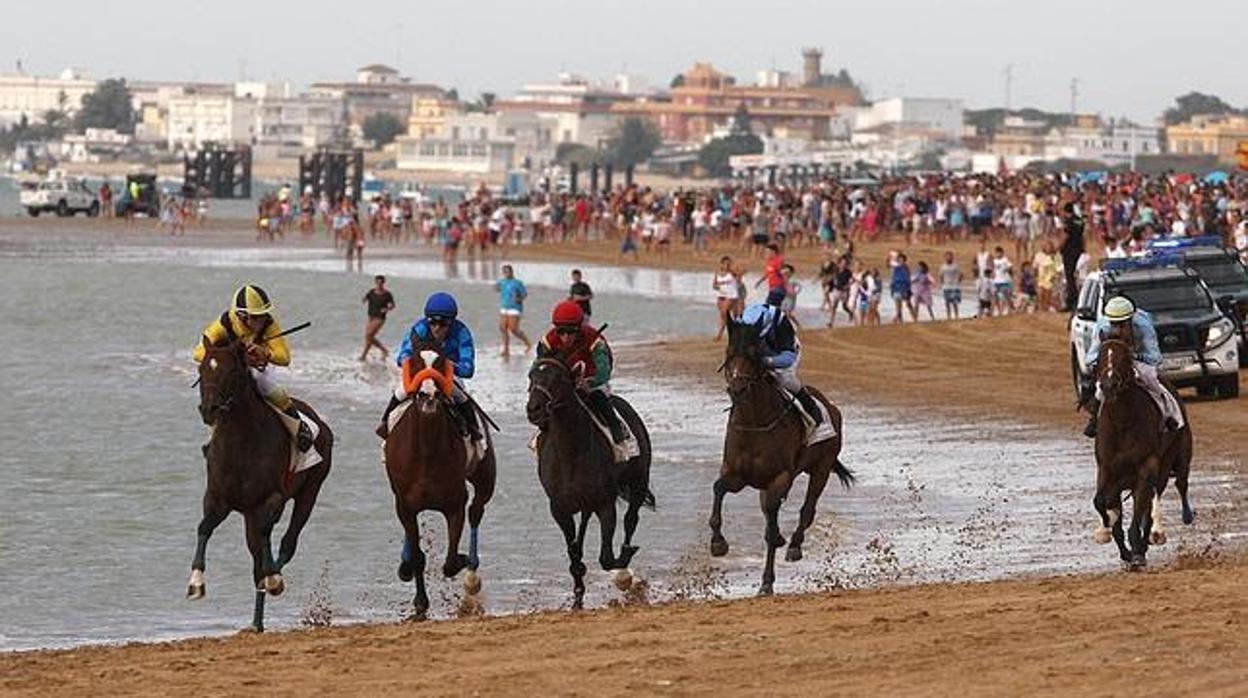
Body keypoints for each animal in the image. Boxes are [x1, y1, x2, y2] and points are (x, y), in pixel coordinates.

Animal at [185, 337, 331, 634]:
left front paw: (273, 578)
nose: (209, 410)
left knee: (287, 542)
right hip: (250, 514)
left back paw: (274, 578)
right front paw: (195, 582)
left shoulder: (271, 499)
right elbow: (204, 528)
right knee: (257, 557)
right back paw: (256, 622)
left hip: (310, 490)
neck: (241, 444)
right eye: (201, 370)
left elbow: (267, 542)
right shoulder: (218, 499)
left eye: (230, 371)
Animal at [384, 342, 496, 619]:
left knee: (476, 510)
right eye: (414, 363)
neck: (426, 453)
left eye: (442, 363)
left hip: (485, 478)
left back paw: (472, 573)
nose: (428, 396)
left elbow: (451, 561)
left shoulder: (455, 504)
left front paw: (467, 564)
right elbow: (417, 555)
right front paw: (420, 602)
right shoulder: (405, 504)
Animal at [526, 357, 658, 609]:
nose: (533, 408)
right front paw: (577, 595)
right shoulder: (559, 509)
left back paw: (627, 551)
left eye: (557, 378)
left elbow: (606, 557)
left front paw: (623, 568)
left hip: (638, 479)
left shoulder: (604, 504)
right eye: (531, 376)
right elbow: (574, 550)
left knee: (631, 519)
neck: (571, 451)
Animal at [718, 317, 853, 594]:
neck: (754, 422)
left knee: (807, 510)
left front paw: (767, 583)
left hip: (821, 468)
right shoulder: (737, 474)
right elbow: (718, 489)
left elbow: (771, 528)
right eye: (729, 353)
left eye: (753, 355)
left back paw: (793, 545)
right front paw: (718, 543)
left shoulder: (778, 478)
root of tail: (831, 406)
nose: (737, 388)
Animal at [1088, 337, 1193, 571]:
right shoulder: (1107, 469)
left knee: (1178, 485)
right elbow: (1100, 501)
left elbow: (1139, 515)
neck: (1122, 423)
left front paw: (1137, 552)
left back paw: (1164, 529)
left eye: (1125, 357)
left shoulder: (1147, 466)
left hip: (1177, 457)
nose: (1108, 385)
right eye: (1099, 358)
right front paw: (1110, 532)